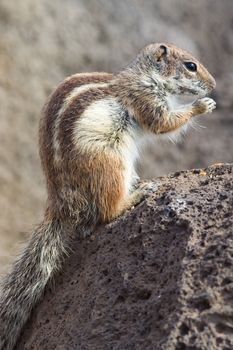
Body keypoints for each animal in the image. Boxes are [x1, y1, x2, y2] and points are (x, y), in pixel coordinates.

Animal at [0, 42, 217, 348]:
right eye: (191, 66)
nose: (214, 86)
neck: (144, 74)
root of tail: (60, 205)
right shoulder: (145, 98)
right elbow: (163, 122)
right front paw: (202, 105)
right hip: (111, 165)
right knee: (106, 212)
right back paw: (137, 194)